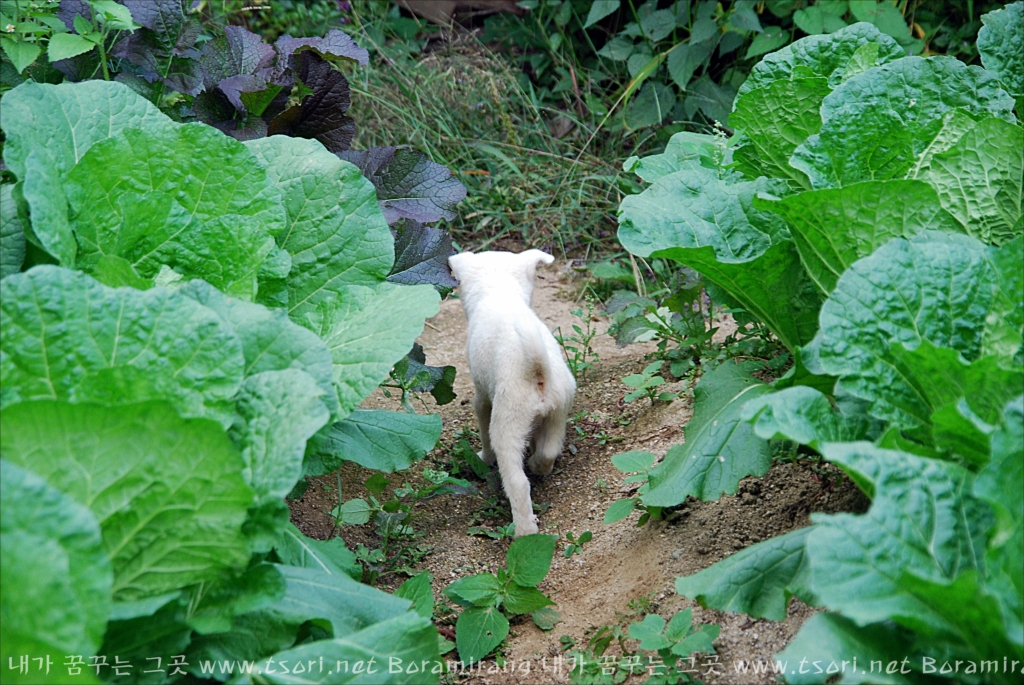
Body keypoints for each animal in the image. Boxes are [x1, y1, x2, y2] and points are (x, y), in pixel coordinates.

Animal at [448, 248, 577, 536]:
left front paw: (483, 458)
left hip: (506, 425)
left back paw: (524, 532)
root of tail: (537, 370)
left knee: (517, 483)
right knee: (549, 451)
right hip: (558, 413)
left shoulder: (482, 398)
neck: (500, 290)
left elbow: (483, 432)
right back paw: (537, 464)